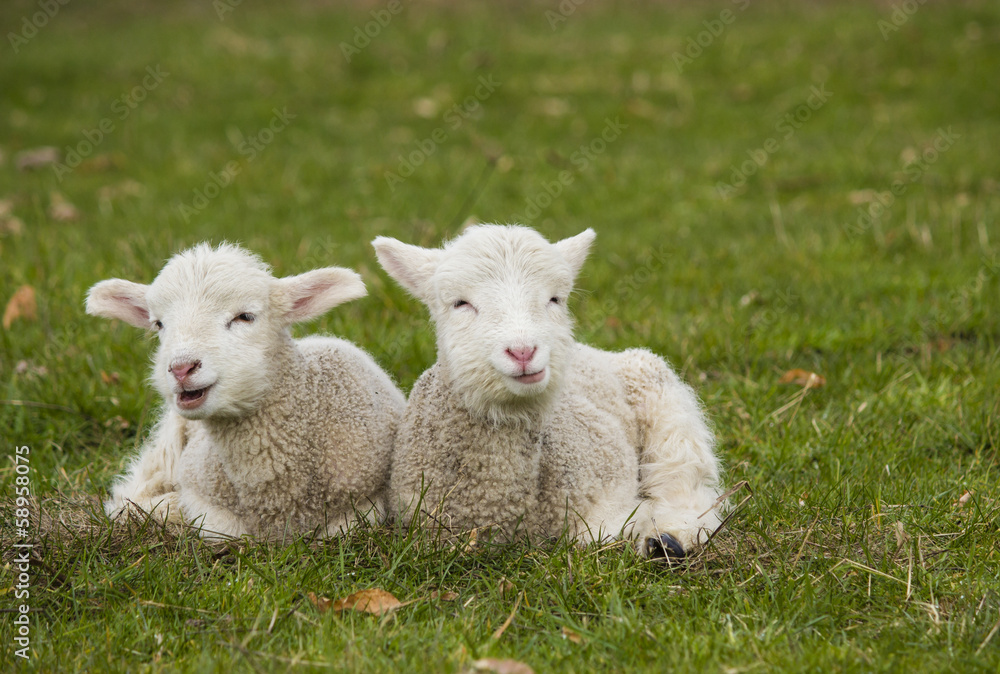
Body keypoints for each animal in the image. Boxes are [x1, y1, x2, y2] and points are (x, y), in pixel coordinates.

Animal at [86, 242, 405, 540]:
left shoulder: (365, 504)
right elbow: (223, 529)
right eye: (159, 324)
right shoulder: (201, 494)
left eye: (245, 316)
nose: (181, 368)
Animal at [373, 225, 725, 557]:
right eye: (460, 303)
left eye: (555, 299)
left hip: (665, 405)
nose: (523, 351)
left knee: (686, 480)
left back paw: (672, 536)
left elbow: (602, 533)